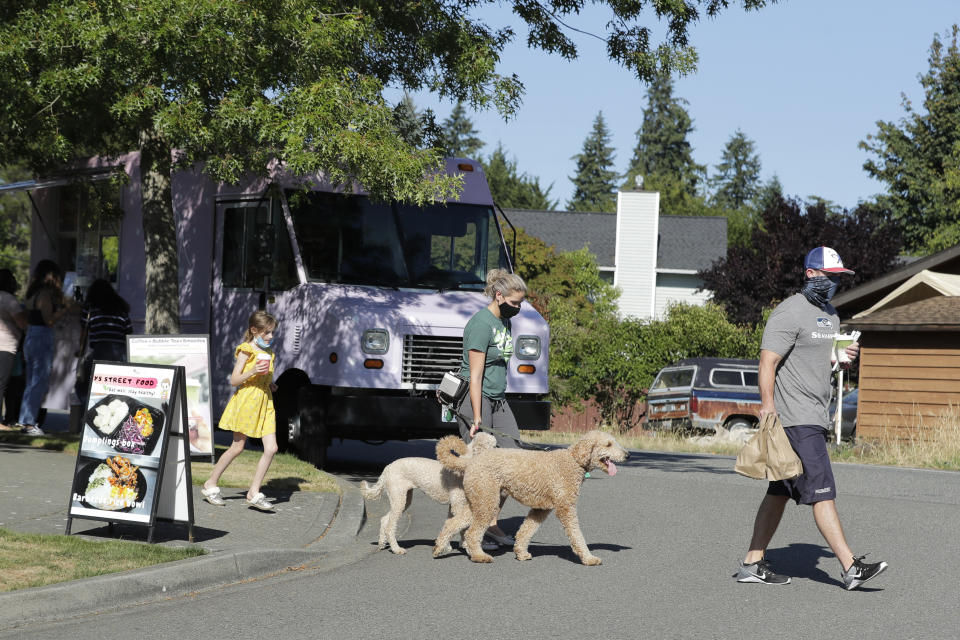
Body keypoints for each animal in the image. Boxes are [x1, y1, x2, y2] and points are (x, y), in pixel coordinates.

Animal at [358, 432, 496, 556]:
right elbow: (460, 526)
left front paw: (445, 546)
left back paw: (382, 543)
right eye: (493, 446)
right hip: (399, 498)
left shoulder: (453, 506)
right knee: (390, 526)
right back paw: (396, 549)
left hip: (404, 499)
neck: (465, 464)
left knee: (384, 519)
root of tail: (387, 469)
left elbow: (450, 524)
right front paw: (466, 546)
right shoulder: (458, 504)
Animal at [436, 430, 632, 564]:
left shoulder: (541, 509)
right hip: (487, 501)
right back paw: (479, 556)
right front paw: (589, 558)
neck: (574, 460)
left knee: (453, 523)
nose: (628, 455)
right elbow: (577, 535)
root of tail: (471, 461)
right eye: (608, 444)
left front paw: (521, 553)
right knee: (472, 532)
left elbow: (526, 530)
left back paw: (439, 547)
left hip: (480, 499)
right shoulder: (566, 507)